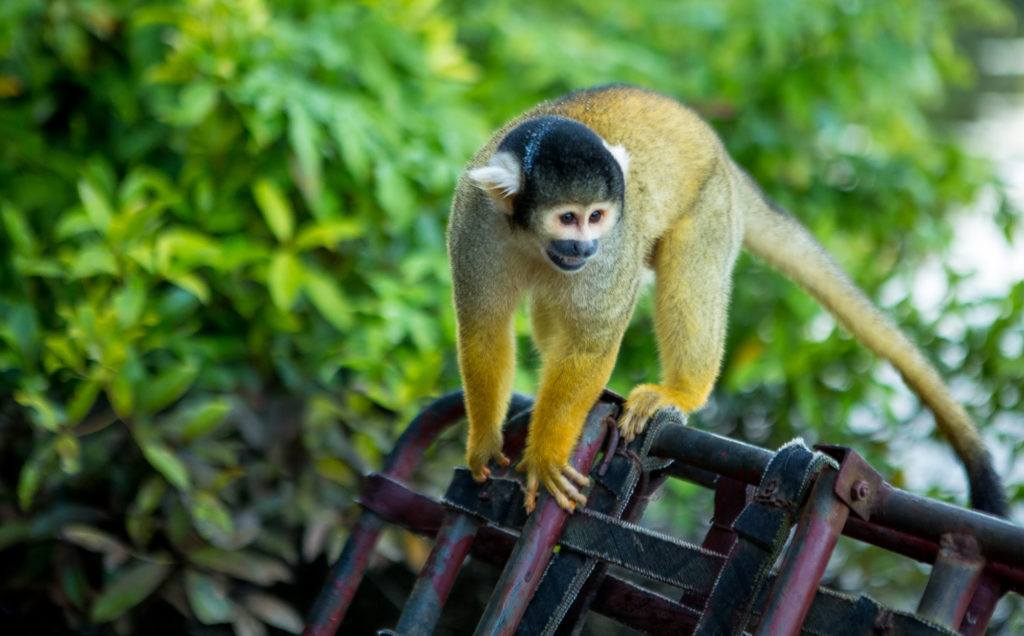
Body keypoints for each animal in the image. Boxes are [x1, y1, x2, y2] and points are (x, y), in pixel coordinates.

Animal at [450, 84, 1007, 516]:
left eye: (597, 217)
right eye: (568, 218)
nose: (585, 247)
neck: (528, 236)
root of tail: (724, 155)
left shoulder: (613, 247)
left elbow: (589, 345)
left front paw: (545, 456)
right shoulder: (474, 221)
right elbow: (483, 330)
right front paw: (485, 443)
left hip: (710, 205)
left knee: (688, 276)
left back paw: (680, 393)